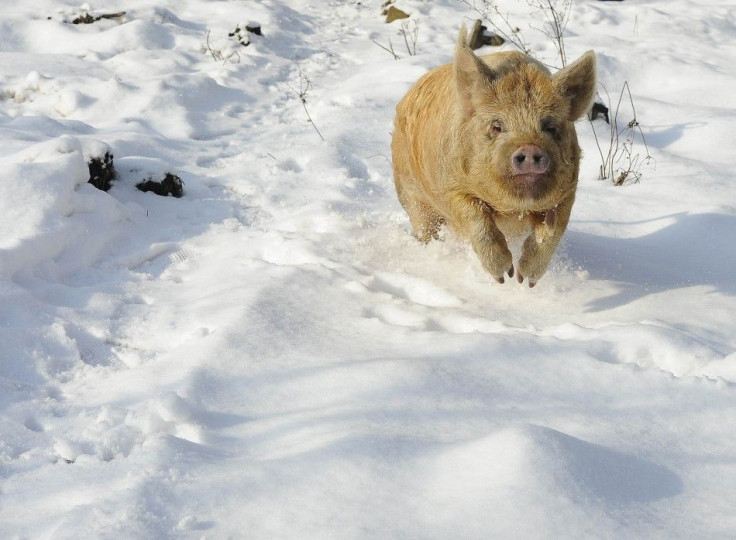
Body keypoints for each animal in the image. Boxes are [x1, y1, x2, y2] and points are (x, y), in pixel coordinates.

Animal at [392, 25, 600, 286]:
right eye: (497, 126)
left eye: (550, 126)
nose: (529, 148)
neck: (513, 210)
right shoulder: (452, 188)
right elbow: (477, 221)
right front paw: (503, 277)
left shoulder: (566, 195)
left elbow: (551, 233)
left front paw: (525, 280)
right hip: (409, 192)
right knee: (424, 225)